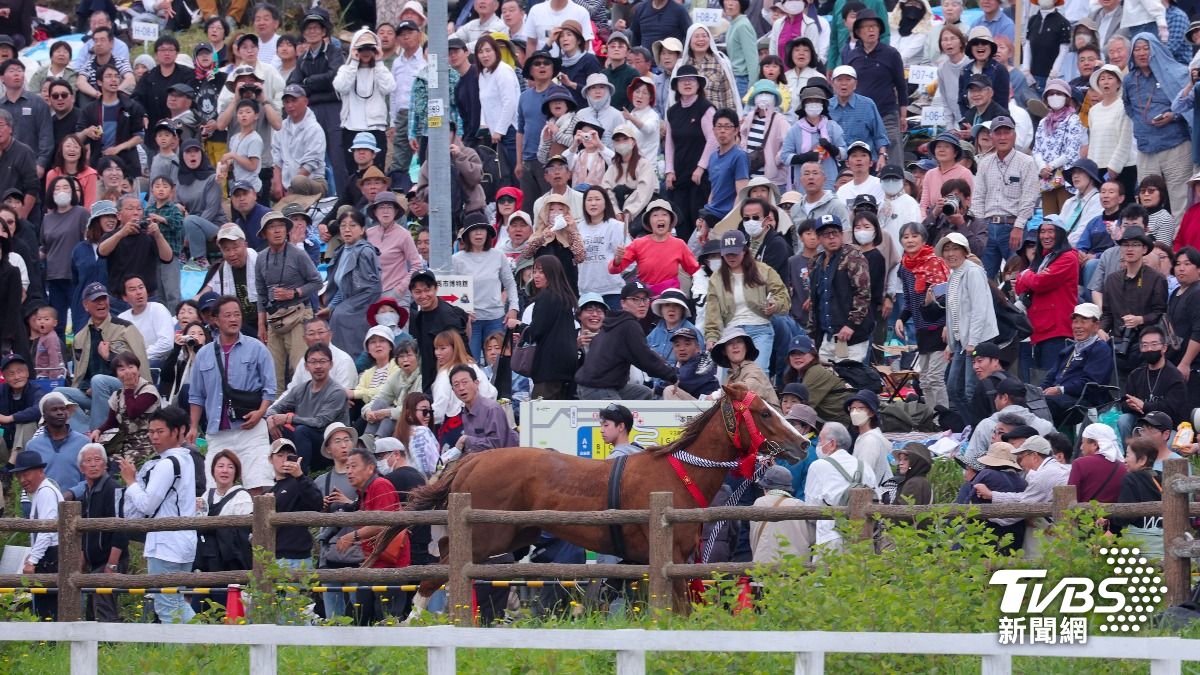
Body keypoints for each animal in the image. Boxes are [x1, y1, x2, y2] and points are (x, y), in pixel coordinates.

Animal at [396, 384, 809, 613]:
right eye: (763, 413)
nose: (803, 443)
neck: (678, 474)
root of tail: (474, 459)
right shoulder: (671, 557)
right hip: (487, 537)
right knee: (435, 574)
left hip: (512, 534)